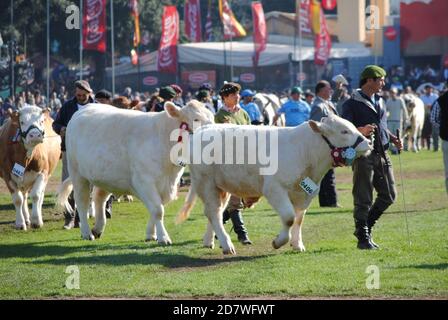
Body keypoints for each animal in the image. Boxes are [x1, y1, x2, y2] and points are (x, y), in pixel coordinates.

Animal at [57, 100, 214, 242]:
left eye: (211, 118)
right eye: (196, 119)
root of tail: (84, 108)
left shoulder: (166, 184)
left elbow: (157, 208)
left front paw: (151, 234)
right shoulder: (143, 181)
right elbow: (157, 210)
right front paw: (163, 237)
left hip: (106, 176)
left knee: (99, 198)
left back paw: (98, 228)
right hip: (77, 173)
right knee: (81, 201)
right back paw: (86, 233)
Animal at [177, 114, 372, 254]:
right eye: (344, 131)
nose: (368, 142)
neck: (305, 152)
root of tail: (204, 128)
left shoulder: (305, 194)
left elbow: (299, 219)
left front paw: (297, 244)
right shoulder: (274, 189)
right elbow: (289, 217)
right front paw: (278, 242)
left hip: (222, 187)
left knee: (213, 212)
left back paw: (209, 241)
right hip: (206, 183)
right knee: (214, 212)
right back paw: (226, 245)